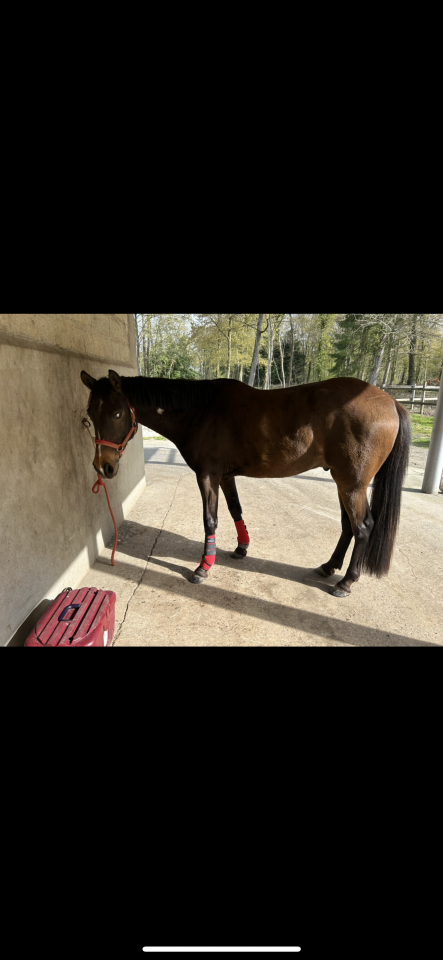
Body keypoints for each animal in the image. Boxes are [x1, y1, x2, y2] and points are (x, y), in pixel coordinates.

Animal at [81, 369, 411, 598]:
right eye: (90, 414)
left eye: (118, 413)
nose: (103, 466)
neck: (200, 412)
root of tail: (392, 402)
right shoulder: (226, 476)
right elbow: (235, 509)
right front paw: (241, 548)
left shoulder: (208, 475)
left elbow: (210, 519)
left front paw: (204, 566)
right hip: (343, 482)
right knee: (347, 526)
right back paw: (329, 566)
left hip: (352, 485)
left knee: (362, 527)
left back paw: (346, 582)